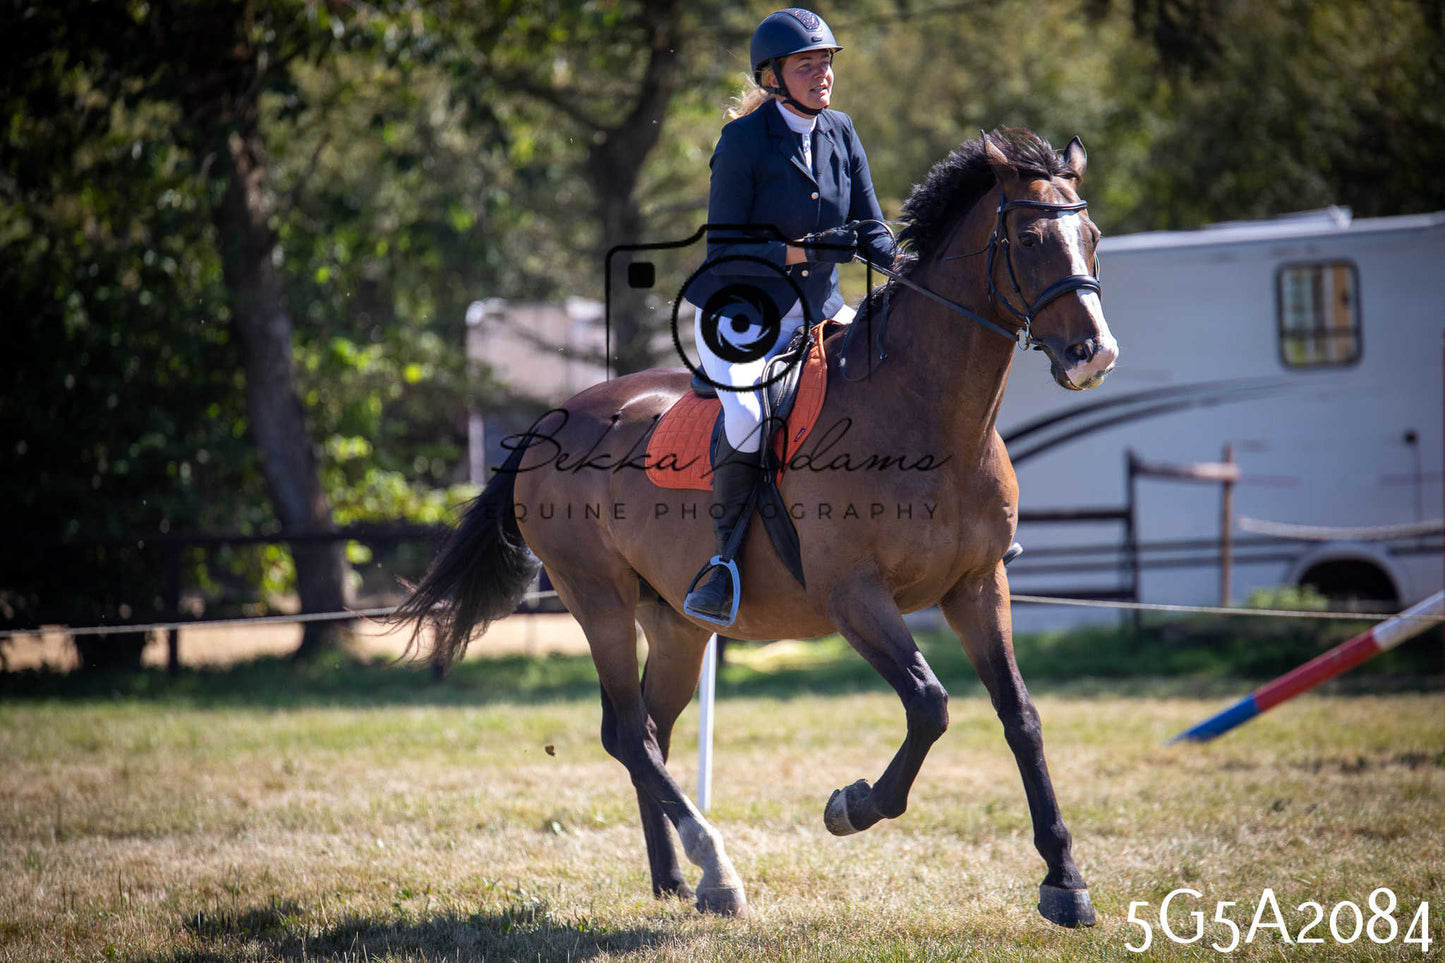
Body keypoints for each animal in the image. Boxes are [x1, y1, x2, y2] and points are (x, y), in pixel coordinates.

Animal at [393, 128, 1118, 927]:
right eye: (1028, 239)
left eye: (1091, 237)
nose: (1093, 355)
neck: (929, 415)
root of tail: (554, 418)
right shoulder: (853, 595)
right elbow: (928, 704)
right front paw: (852, 805)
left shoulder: (977, 586)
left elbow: (1019, 715)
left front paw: (1065, 879)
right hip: (596, 598)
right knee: (629, 733)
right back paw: (717, 871)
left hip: (675, 622)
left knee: (650, 730)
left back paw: (675, 880)